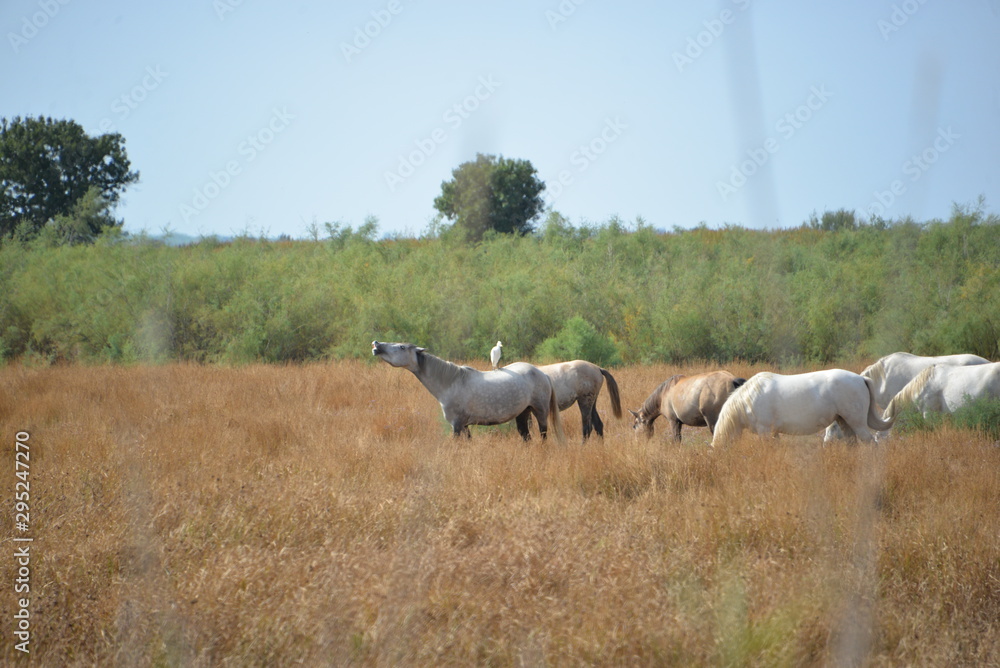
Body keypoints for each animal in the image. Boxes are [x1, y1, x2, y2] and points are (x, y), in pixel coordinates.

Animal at [371, 341, 565, 442]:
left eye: (402, 347)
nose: (376, 344)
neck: (451, 383)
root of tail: (542, 374)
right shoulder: (464, 425)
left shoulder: (457, 425)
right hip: (523, 413)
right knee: (526, 436)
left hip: (540, 411)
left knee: (543, 434)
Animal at [711, 369, 894, 446]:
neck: (748, 399)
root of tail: (861, 379)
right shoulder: (774, 433)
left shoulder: (765, 431)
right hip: (844, 422)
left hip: (857, 423)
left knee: (871, 444)